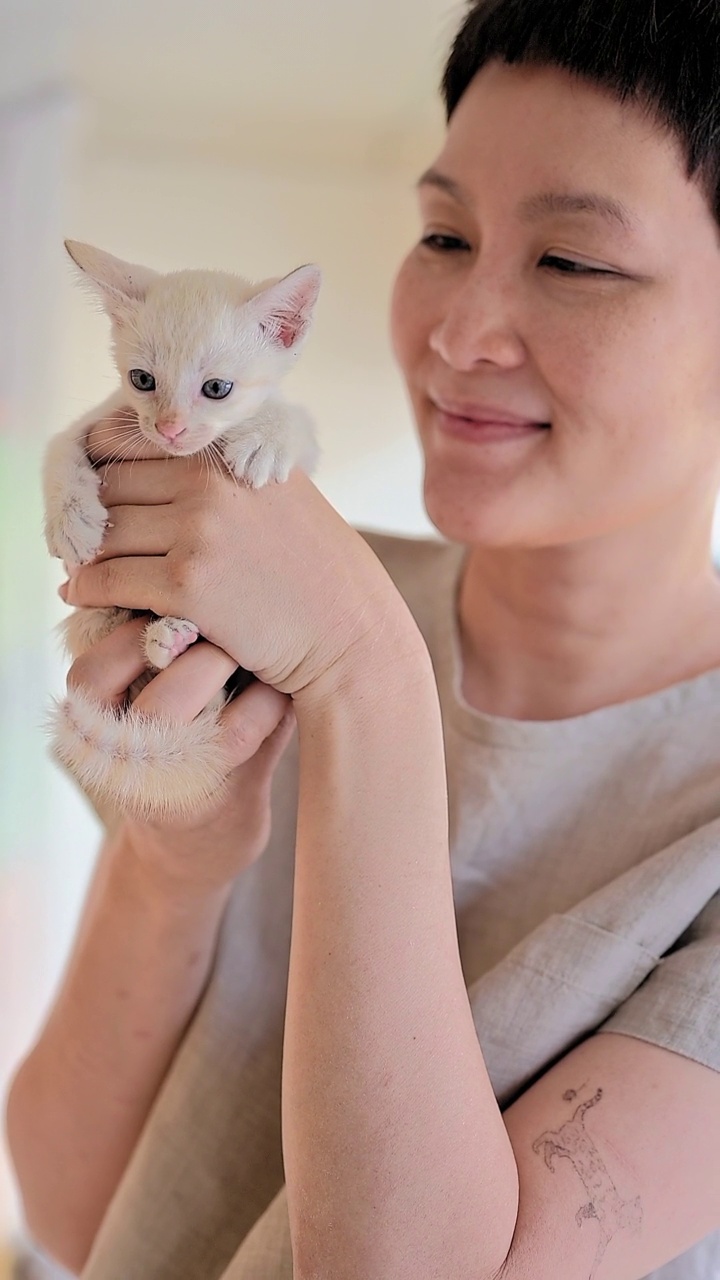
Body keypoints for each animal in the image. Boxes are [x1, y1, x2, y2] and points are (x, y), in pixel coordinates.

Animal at [40, 239, 317, 819]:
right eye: (142, 380)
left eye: (217, 388)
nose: (168, 428)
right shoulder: (106, 416)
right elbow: (58, 445)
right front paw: (71, 517)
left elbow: (295, 420)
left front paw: (267, 438)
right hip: (89, 621)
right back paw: (166, 642)